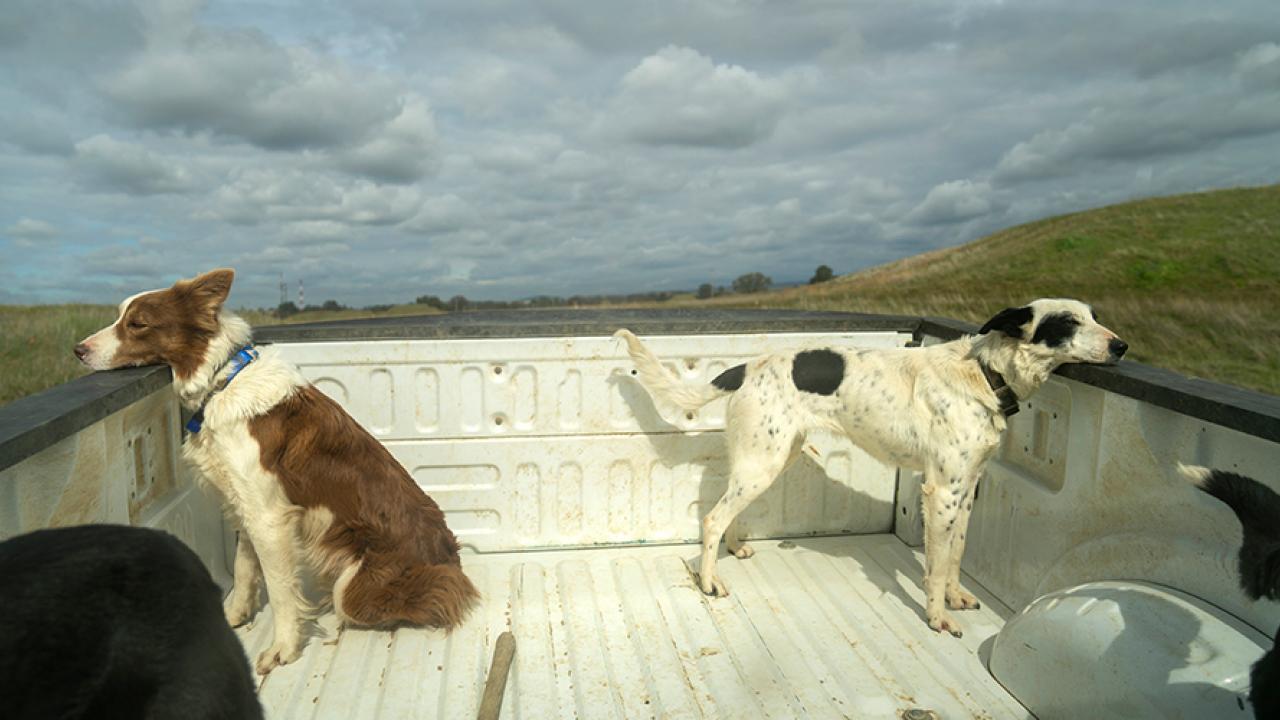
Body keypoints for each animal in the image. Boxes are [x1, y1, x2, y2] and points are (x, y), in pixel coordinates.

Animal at [78, 266, 481, 671]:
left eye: (138, 324)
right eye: (120, 317)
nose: (78, 350)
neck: (222, 381)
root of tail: (451, 556)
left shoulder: (269, 517)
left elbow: (281, 589)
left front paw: (284, 648)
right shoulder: (245, 501)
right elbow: (244, 567)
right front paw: (235, 616)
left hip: (359, 586)